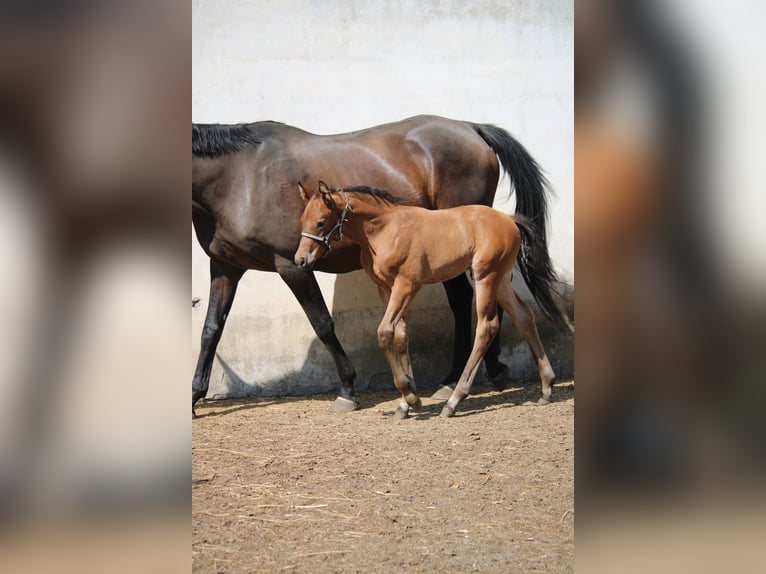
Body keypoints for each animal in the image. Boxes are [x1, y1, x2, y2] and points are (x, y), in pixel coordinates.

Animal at [295, 182, 565, 418]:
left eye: (321, 222)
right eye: (302, 220)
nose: (301, 260)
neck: (385, 229)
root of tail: (509, 219)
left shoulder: (407, 284)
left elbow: (385, 332)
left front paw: (410, 396)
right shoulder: (385, 288)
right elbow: (401, 334)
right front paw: (408, 404)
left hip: (485, 276)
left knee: (487, 326)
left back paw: (454, 401)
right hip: (500, 280)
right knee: (523, 315)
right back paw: (547, 388)